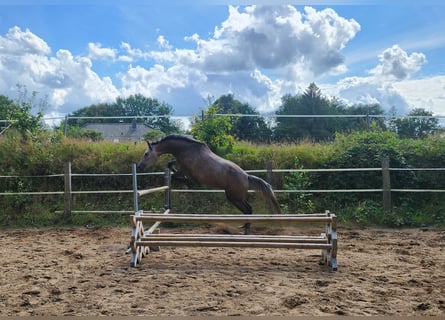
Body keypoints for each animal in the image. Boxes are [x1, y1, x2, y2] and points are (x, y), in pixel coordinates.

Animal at [137, 134, 280, 234]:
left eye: (146, 154)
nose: (139, 166)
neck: (186, 149)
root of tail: (247, 176)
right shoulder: (180, 165)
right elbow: (170, 165)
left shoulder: (185, 169)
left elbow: (176, 175)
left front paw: (189, 183)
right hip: (235, 197)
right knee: (248, 210)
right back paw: (245, 228)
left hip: (234, 197)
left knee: (249, 209)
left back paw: (246, 230)